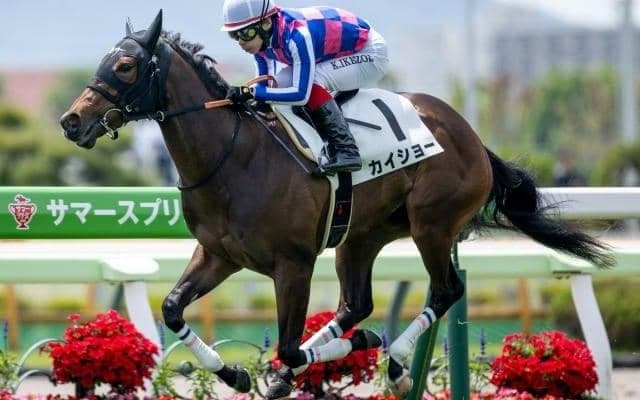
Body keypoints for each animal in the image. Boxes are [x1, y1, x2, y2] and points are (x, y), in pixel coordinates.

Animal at [59, 10, 614, 399]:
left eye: (125, 65)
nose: (71, 121)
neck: (234, 155)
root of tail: (472, 137)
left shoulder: (293, 264)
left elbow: (286, 343)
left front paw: (313, 359)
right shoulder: (218, 255)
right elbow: (173, 310)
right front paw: (237, 374)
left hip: (432, 225)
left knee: (445, 289)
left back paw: (394, 361)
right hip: (362, 235)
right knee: (357, 303)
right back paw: (348, 351)